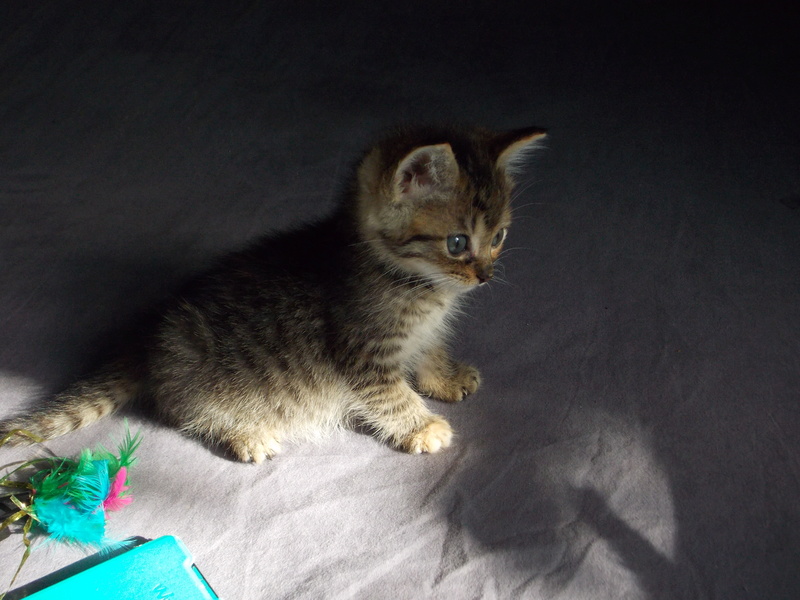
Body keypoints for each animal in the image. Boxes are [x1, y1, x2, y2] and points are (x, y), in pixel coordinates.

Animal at [0, 125, 544, 464]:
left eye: (499, 236)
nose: (485, 275)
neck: (413, 282)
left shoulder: (422, 333)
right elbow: (390, 395)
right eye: (457, 243)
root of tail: (148, 341)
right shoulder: (361, 354)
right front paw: (422, 426)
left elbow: (428, 351)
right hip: (203, 372)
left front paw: (445, 377)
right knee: (184, 411)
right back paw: (245, 433)